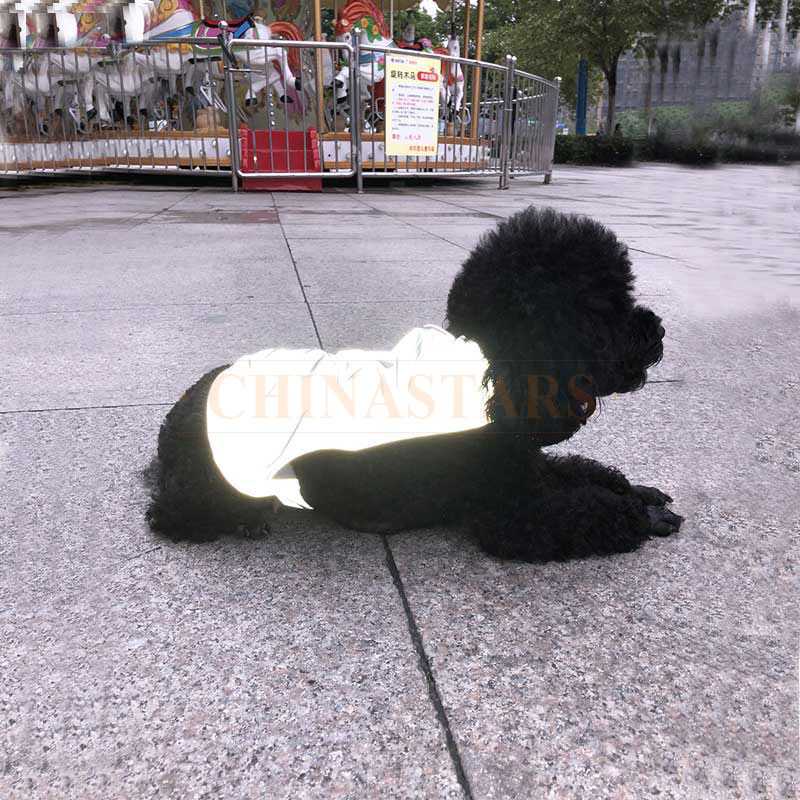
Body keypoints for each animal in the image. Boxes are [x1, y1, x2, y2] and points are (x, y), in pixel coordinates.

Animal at [145, 209, 680, 564]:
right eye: (605, 309)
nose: (658, 331)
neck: (495, 371)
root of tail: (177, 410)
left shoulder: (530, 465)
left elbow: (584, 470)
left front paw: (637, 489)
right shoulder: (510, 513)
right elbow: (589, 510)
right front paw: (641, 514)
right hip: (212, 478)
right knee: (170, 515)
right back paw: (247, 516)